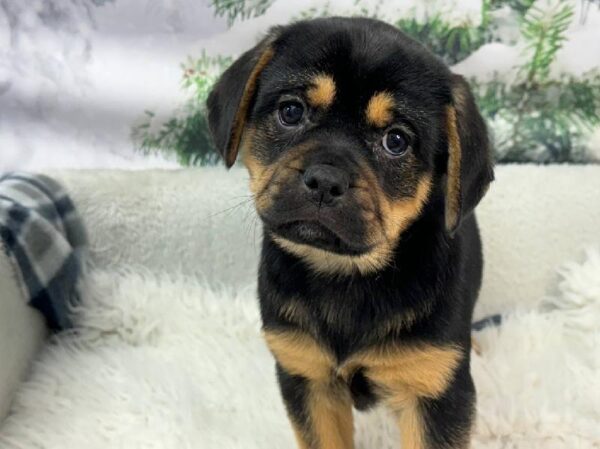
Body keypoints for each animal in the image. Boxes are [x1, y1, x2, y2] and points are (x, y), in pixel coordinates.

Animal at [206, 16, 492, 448]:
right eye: (291, 111)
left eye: (396, 140)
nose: (325, 181)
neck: (347, 275)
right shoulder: (307, 375)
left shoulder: (434, 393)